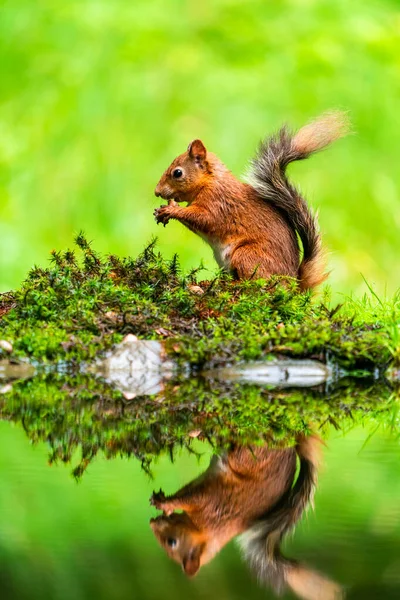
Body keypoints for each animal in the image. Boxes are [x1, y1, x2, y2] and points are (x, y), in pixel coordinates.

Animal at [150, 436, 344, 600]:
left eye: (172, 542)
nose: (152, 523)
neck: (207, 530)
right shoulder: (199, 486)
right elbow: (184, 491)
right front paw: (164, 503)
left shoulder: (211, 502)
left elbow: (187, 499)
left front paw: (165, 504)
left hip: (253, 454)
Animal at [155, 113, 348, 292]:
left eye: (177, 173)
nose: (157, 192)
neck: (210, 181)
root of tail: (293, 285)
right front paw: (168, 208)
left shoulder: (218, 203)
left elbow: (203, 218)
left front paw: (171, 210)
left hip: (246, 255)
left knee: (256, 284)